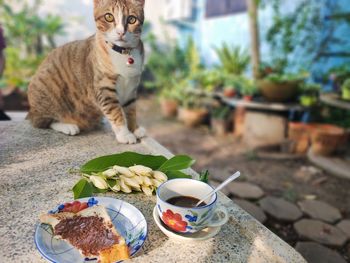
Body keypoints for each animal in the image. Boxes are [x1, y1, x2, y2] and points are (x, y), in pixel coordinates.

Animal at [27, 0, 146, 144]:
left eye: (132, 19)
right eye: (109, 17)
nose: (120, 32)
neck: (123, 52)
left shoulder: (131, 89)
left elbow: (130, 110)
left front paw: (134, 128)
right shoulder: (104, 89)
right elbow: (116, 112)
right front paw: (125, 134)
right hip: (48, 88)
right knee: (42, 121)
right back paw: (68, 126)